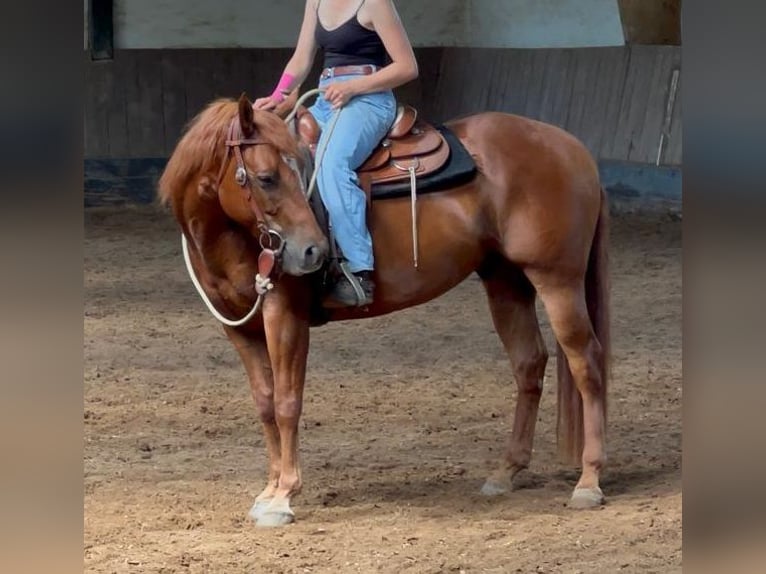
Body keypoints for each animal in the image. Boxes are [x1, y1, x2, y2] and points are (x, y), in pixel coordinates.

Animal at [158, 95, 612, 532]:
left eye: (293, 172)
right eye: (267, 177)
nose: (312, 252)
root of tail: (573, 148)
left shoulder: (285, 316)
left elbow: (287, 403)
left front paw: (284, 496)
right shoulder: (239, 329)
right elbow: (266, 404)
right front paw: (268, 491)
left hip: (557, 280)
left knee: (586, 363)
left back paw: (589, 481)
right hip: (505, 283)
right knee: (529, 364)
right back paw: (505, 472)